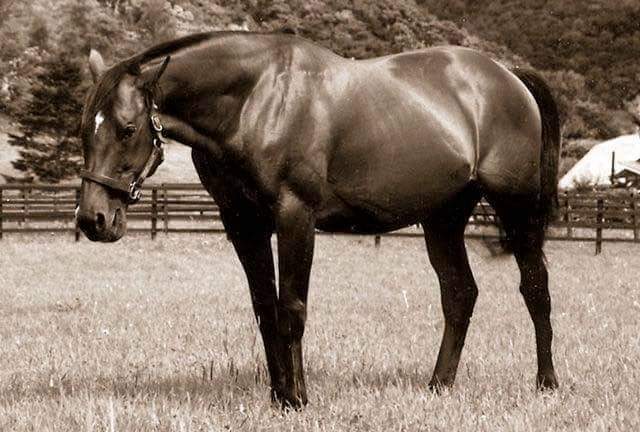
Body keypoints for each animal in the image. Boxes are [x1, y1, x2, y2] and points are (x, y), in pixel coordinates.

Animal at [77, 31, 561, 408]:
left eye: (127, 128)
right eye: (84, 130)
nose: (93, 219)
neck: (256, 102)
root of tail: (510, 76)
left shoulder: (296, 217)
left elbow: (292, 309)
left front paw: (297, 399)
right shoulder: (244, 225)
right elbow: (265, 309)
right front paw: (278, 396)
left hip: (517, 208)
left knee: (535, 288)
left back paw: (546, 384)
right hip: (443, 218)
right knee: (460, 294)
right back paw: (439, 385)